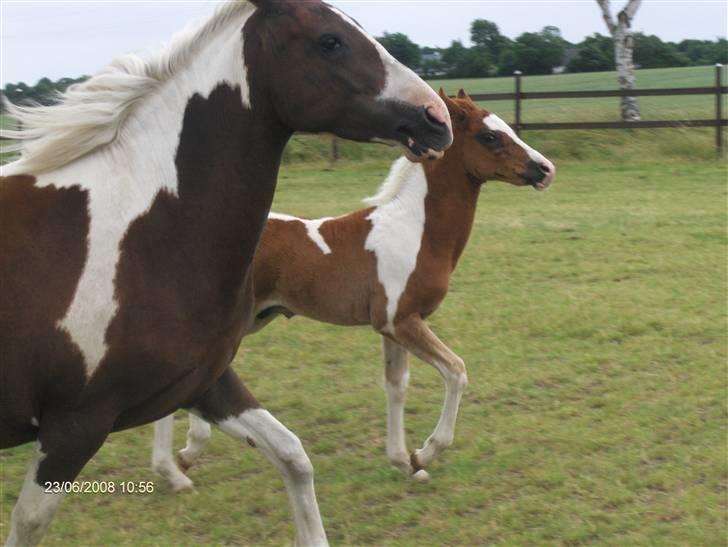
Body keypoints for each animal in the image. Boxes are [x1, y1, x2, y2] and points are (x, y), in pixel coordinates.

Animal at [1, 2, 456, 544]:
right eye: (330, 41)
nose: (436, 118)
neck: (141, 233)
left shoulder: (203, 384)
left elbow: (292, 456)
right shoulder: (74, 425)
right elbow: (28, 521)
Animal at [151, 91, 556, 492]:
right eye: (490, 137)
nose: (546, 169)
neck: (415, 230)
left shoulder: (392, 328)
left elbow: (396, 385)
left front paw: (404, 462)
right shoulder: (400, 321)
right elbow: (456, 371)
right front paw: (424, 453)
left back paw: (183, 459)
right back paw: (175, 469)